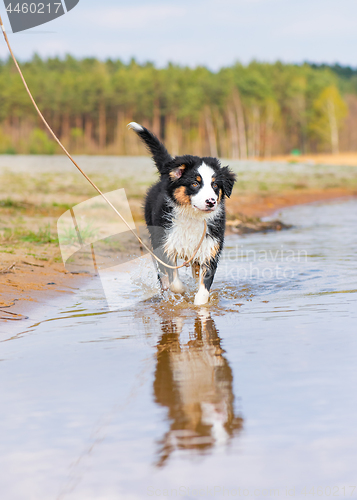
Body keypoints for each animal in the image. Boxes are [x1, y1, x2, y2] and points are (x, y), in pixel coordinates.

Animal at [129, 123, 236, 306]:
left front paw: (199, 305)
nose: (211, 201)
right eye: (195, 183)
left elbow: (203, 291)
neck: (193, 217)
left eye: (215, 185)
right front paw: (180, 293)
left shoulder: (211, 249)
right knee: (161, 272)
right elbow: (175, 283)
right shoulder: (166, 244)